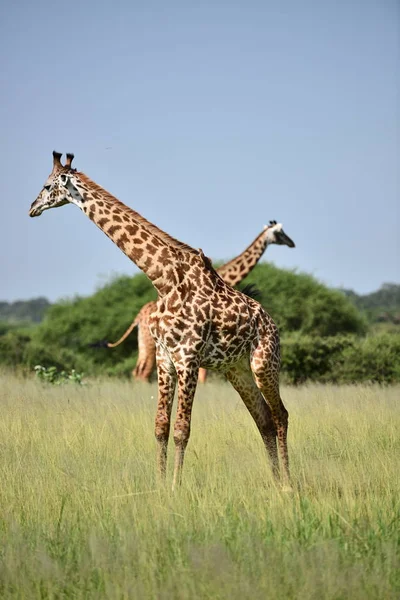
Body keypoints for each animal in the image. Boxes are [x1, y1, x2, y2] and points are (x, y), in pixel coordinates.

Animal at [104, 223, 296, 382]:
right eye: (280, 232)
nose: (292, 243)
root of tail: (138, 317)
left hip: (144, 343)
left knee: (137, 371)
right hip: (152, 344)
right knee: (144, 372)